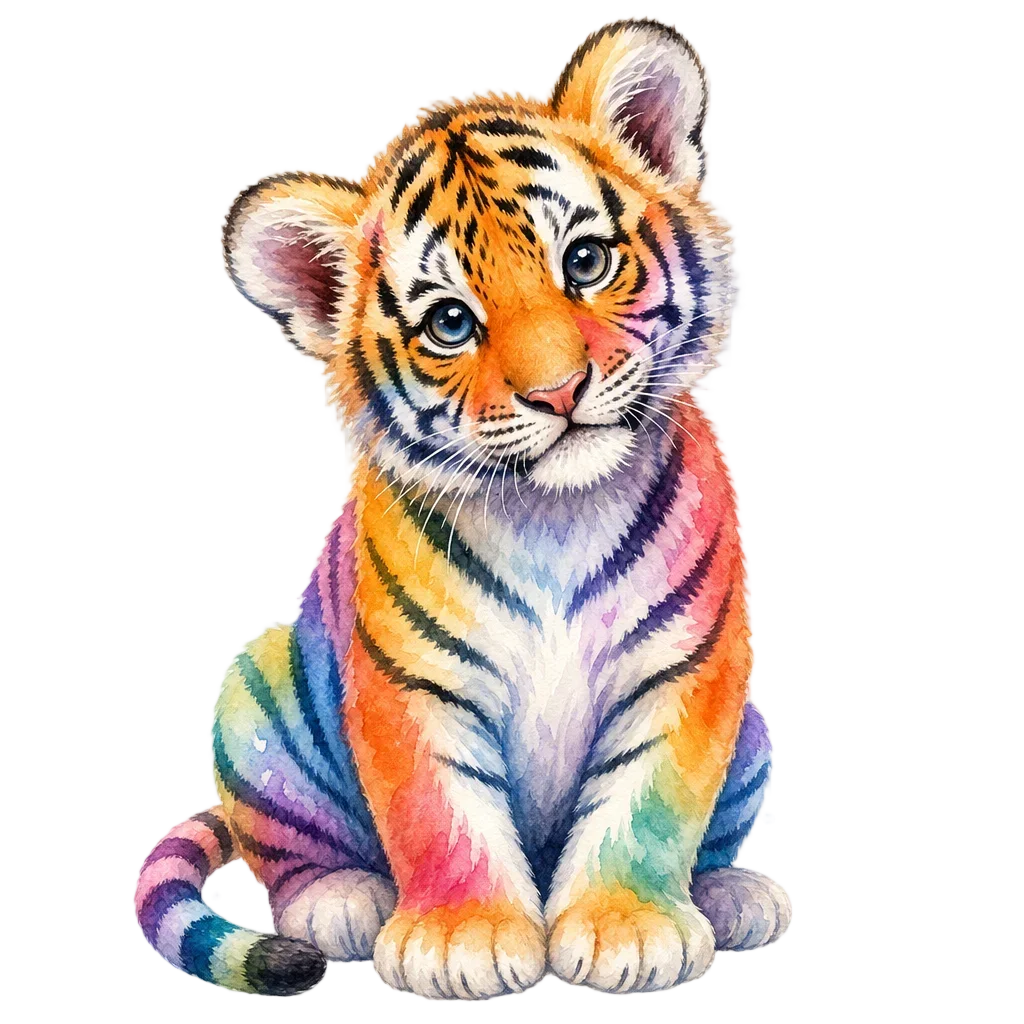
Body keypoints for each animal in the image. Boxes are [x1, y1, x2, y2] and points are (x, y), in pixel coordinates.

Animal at [132, 16, 790, 999]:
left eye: (586, 262)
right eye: (451, 324)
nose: (559, 392)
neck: (554, 514)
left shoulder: (684, 665)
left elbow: (648, 802)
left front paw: (627, 928)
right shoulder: (412, 680)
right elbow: (438, 811)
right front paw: (464, 940)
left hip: (753, 734)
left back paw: (738, 897)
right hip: (254, 685)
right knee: (293, 853)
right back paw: (337, 900)